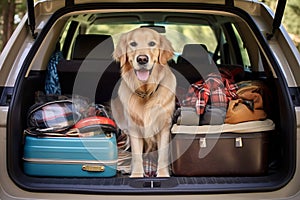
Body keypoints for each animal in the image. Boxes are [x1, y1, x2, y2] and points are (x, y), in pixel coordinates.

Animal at [111, 27, 176, 177]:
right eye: (133, 44)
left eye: (152, 43)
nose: (142, 59)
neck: (146, 92)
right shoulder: (133, 128)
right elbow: (137, 155)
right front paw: (136, 174)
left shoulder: (164, 126)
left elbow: (163, 154)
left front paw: (163, 174)